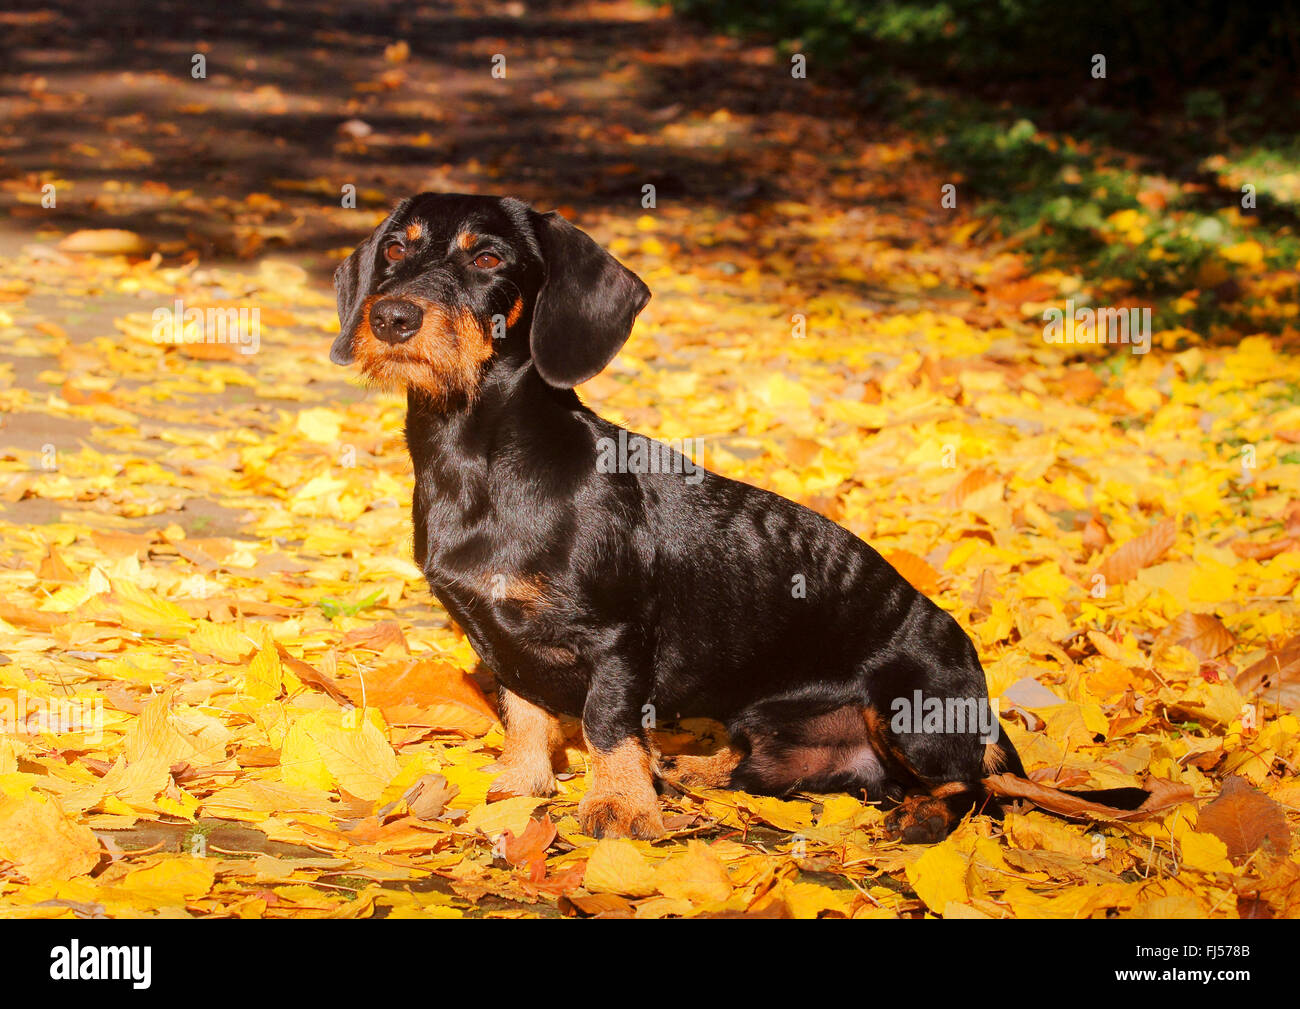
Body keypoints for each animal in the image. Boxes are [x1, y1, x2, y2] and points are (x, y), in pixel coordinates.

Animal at [332, 193, 1149, 837]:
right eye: (396, 247)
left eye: (489, 256)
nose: (393, 317)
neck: (481, 461)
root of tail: (982, 709)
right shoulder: (496, 636)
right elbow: (527, 712)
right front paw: (521, 788)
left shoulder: (618, 637)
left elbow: (605, 722)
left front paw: (620, 807)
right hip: (772, 734)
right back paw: (693, 771)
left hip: (910, 712)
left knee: (973, 787)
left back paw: (921, 817)